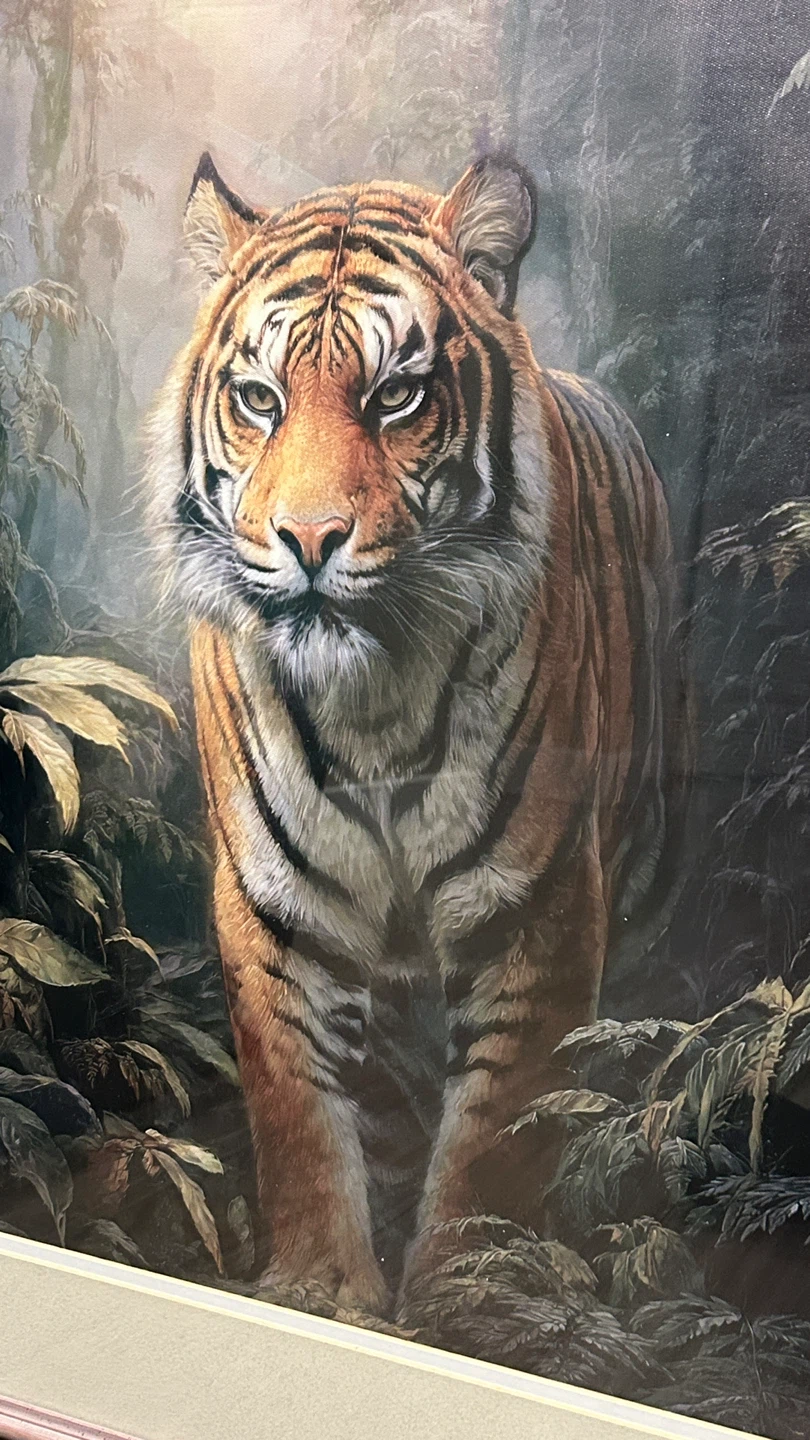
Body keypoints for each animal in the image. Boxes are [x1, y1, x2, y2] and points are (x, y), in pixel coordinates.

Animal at [148, 151, 682, 1316]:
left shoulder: (540, 908)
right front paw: (320, 1293)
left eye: (394, 395)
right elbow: (303, 1122)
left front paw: (467, 1310)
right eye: (259, 399)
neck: (374, 704)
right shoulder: (277, 908)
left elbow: (493, 1149)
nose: (308, 539)